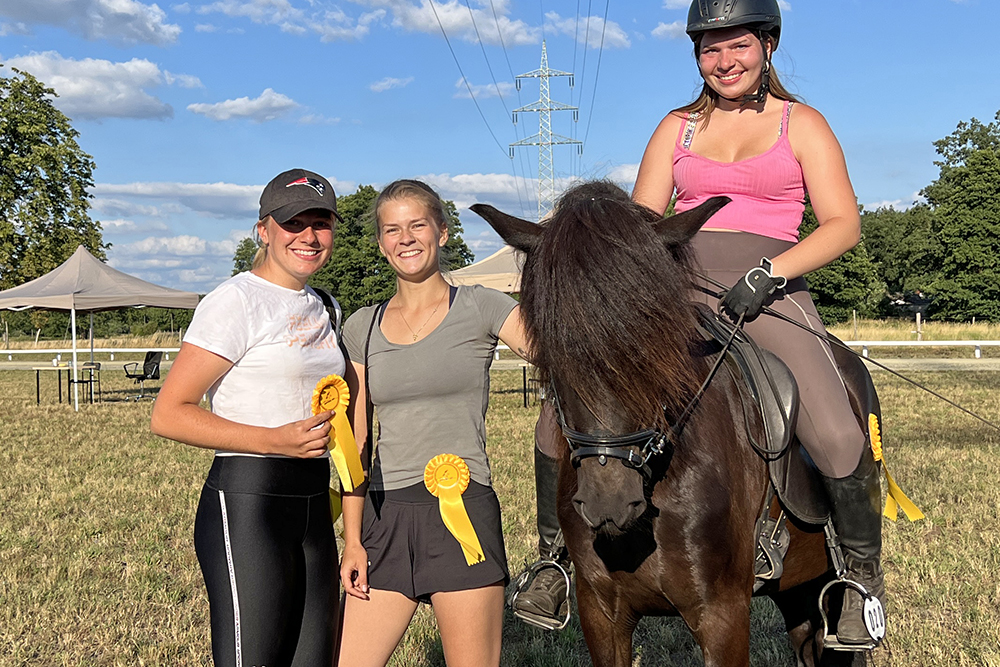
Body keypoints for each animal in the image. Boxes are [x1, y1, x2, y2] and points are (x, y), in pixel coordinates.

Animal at [470, 180, 868, 664]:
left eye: (655, 338)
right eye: (551, 342)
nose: (608, 503)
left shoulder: (723, 615)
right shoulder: (600, 612)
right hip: (797, 592)